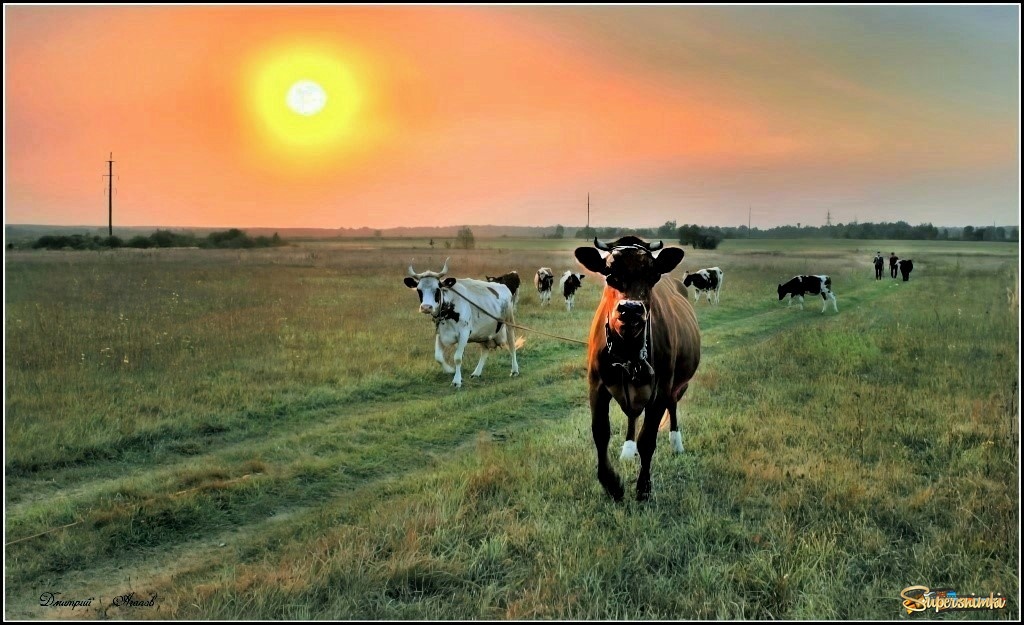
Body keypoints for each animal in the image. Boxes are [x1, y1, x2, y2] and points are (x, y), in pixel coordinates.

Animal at [403, 257, 520, 385]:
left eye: (437, 289)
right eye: (419, 290)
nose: (426, 307)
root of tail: (502, 285)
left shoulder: (464, 333)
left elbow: (458, 358)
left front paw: (457, 380)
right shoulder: (440, 333)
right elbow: (438, 357)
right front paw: (449, 370)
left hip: (509, 323)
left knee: (512, 345)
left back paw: (514, 370)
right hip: (483, 332)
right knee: (484, 349)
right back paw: (476, 373)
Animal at [573, 235, 700, 497]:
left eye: (653, 275)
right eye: (609, 273)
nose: (630, 309)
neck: (628, 351)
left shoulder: (660, 390)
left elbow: (648, 439)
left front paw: (643, 487)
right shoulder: (596, 385)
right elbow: (600, 432)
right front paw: (611, 483)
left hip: (677, 385)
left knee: (672, 407)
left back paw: (676, 442)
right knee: (632, 416)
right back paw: (628, 448)